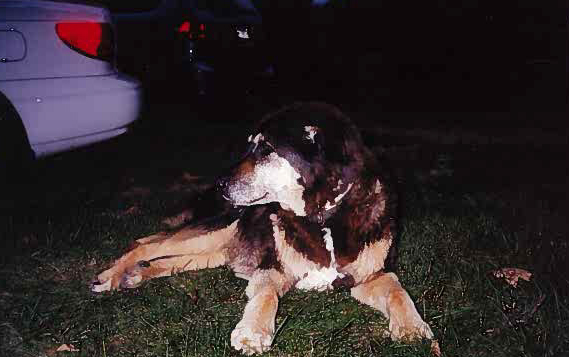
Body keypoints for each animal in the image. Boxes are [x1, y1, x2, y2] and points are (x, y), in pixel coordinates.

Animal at [91, 102, 432, 354]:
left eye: (266, 148)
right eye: (250, 146)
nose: (220, 183)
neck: (324, 218)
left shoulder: (373, 275)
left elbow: (398, 291)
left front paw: (412, 327)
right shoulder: (271, 269)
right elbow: (268, 295)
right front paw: (252, 332)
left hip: (219, 250)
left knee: (172, 261)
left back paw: (137, 274)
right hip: (216, 230)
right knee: (146, 243)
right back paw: (110, 277)